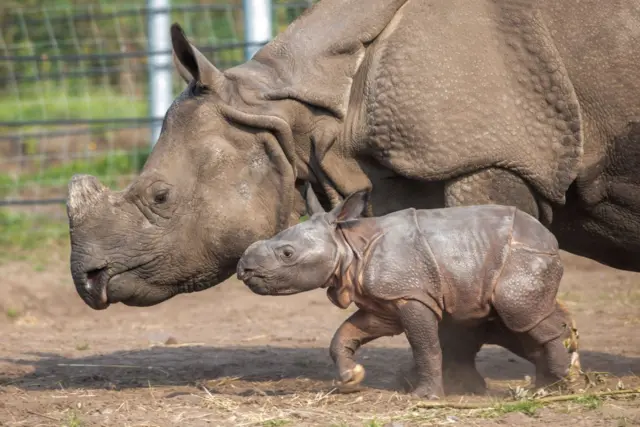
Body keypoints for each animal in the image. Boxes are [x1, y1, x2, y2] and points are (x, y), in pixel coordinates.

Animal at [238, 187, 584, 402]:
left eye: (287, 254)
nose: (243, 269)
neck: (346, 242)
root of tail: (550, 240)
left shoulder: (411, 293)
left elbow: (425, 346)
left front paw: (426, 396)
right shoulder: (383, 303)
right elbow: (343, 335)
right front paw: (351, 378)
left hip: (522, 257)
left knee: (522, 315)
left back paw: (555, 386)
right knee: (520, 322)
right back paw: (554, 383)